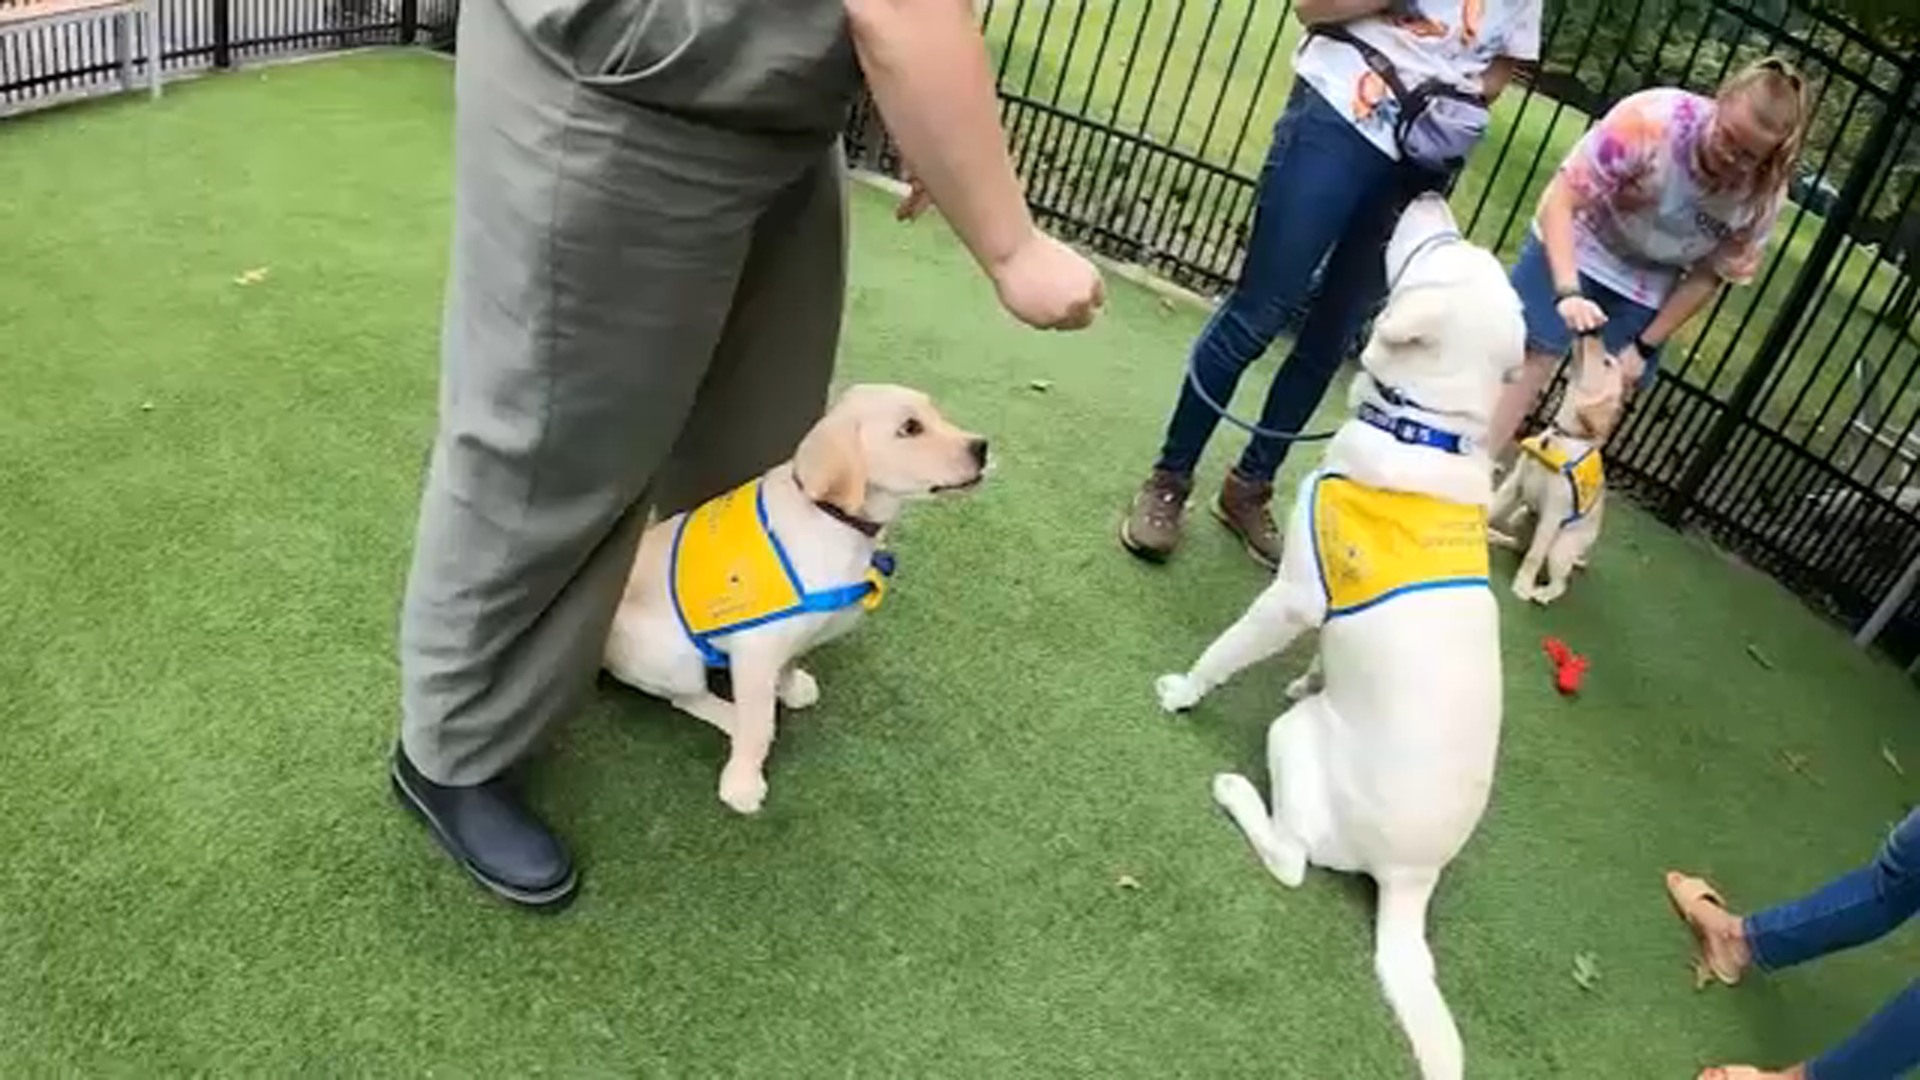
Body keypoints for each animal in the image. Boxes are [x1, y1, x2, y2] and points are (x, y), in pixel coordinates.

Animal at [602, 382, 990, 810]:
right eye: (910, 428)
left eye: (935, 414)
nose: (982, 447)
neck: (831, 518)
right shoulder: (755, 649)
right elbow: (758, 725)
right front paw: (742, 784)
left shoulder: (794, 631)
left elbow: (789, 662)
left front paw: (790, 688)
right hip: (672, 658)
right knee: (687, 698)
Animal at [1144, 193, 1520, 1076]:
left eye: (1438, 247)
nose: (1429, 191)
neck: (1423, 426)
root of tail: (1412, 878)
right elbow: (1320, 656)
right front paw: (1309, 673)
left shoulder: (1292, 599)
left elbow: (1226, 650)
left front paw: (1182, 692)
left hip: (1295, 747)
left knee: (1288, 861)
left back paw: (1234, 790)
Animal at [1489, 334, 1628, 607]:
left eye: (1607, 362)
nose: (1595, 333)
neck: (1561, 435)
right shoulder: (1514, 484)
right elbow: (1492, 507)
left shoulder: (1553, 515)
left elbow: (1534, 556)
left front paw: (1522, 587)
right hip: (1521, 517)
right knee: (1519, 544)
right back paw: (1497, 537)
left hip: (1559, 550)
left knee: (1559, 580)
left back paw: (1542, 593)